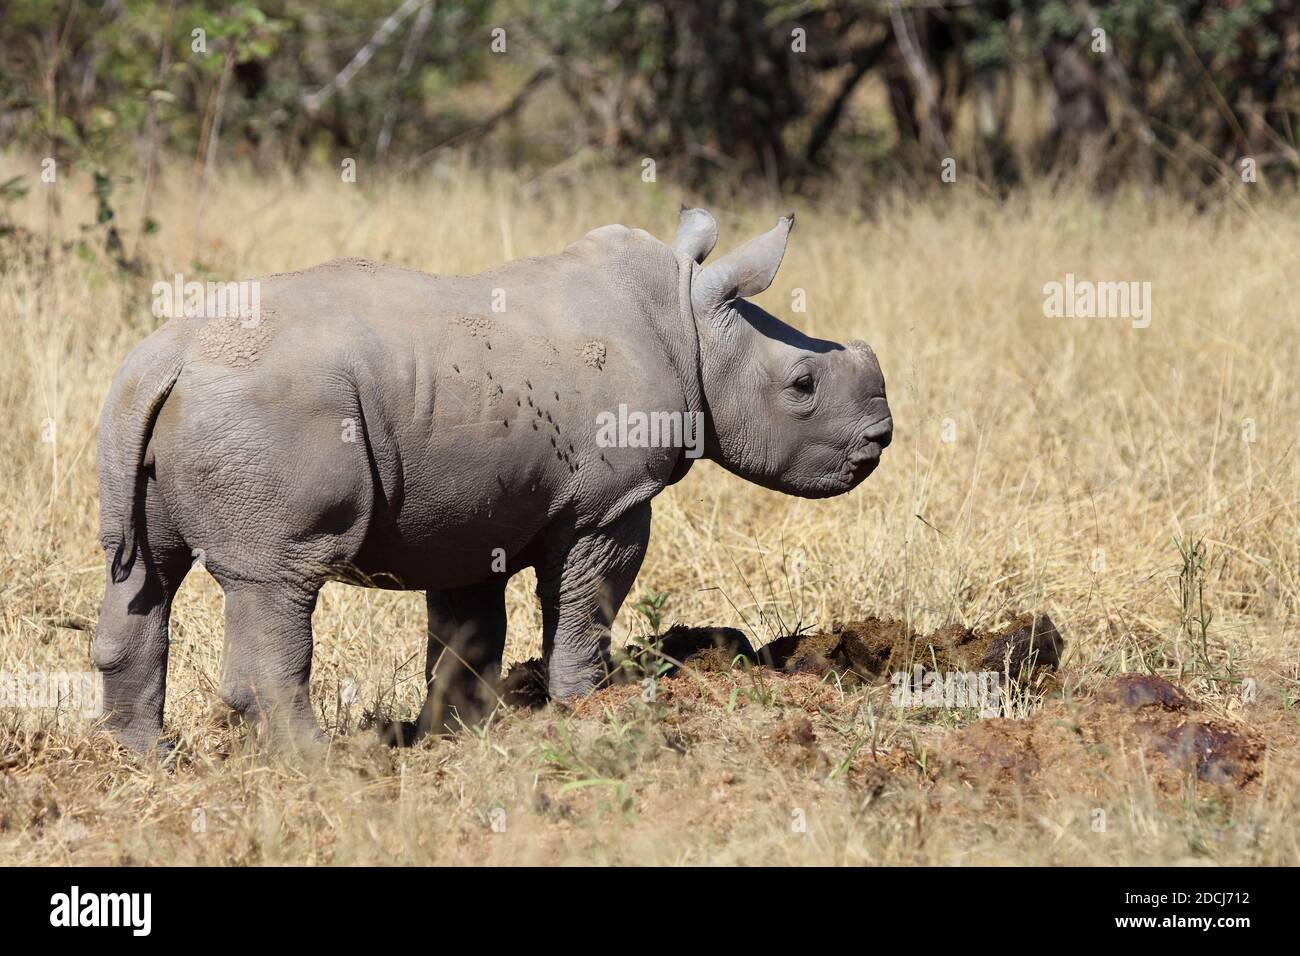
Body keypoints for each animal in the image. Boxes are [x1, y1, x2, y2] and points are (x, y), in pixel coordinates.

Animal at [94, 209, 894, 754]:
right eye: (803, 386)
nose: (879, 440)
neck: (691, 324)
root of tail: (168, 359)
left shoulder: (469, 507)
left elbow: (468, 628)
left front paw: (459, 732)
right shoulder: (611, 504)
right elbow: (587, 603)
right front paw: (583, 708)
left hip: (146, 407)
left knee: (143, 573)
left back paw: (151, 760)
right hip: (271, 413)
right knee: (278, 580)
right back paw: (328, 765)